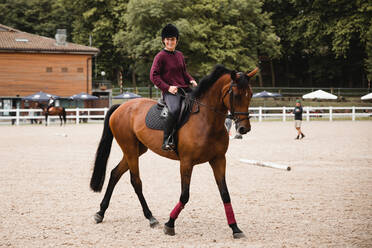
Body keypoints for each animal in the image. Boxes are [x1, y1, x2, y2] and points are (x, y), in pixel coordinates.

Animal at [90, 64, 258, 238]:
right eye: (236, 95)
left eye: (250, 94)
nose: (244, 129)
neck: (207, 121)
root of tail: (122, 107)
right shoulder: (186, 162)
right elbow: (185, 195)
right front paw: (170, 224)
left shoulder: (218, 160)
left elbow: (225, 194)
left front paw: (235, 228)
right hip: (129, 149)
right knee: (135, 181)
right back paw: (150, 217)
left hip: (136, 150)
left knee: (115, 174)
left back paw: (101, 212)